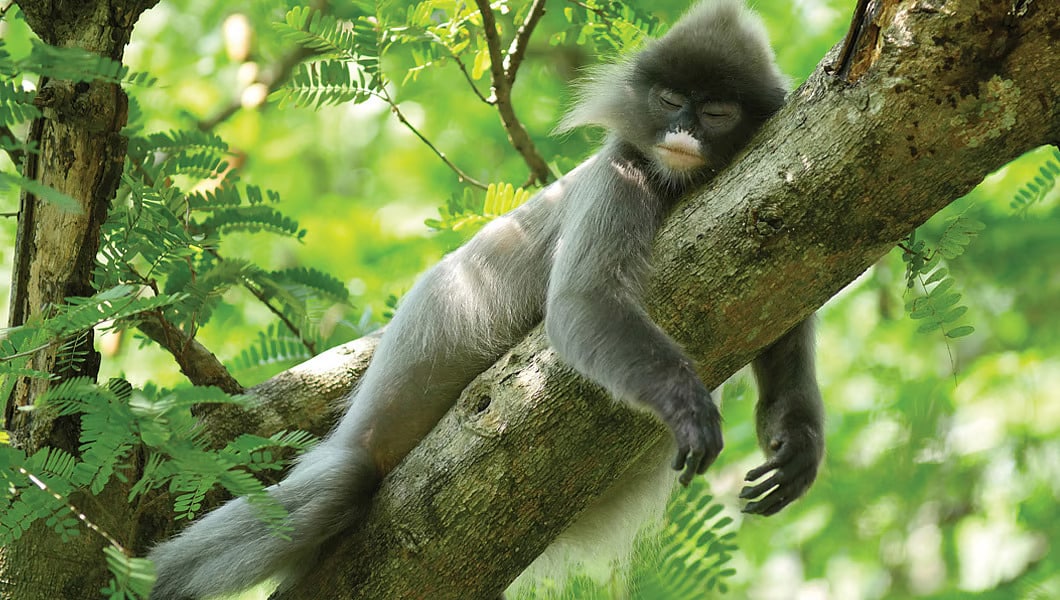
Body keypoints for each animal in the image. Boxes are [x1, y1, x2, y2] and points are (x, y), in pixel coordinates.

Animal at [148, 1, 824, 598]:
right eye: (668, 101)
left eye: (715, 111)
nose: (682, 130)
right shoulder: (621, 173)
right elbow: (579, 307)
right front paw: (688, 407)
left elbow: (783, 312)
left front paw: (797, 440)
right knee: (339, 482)